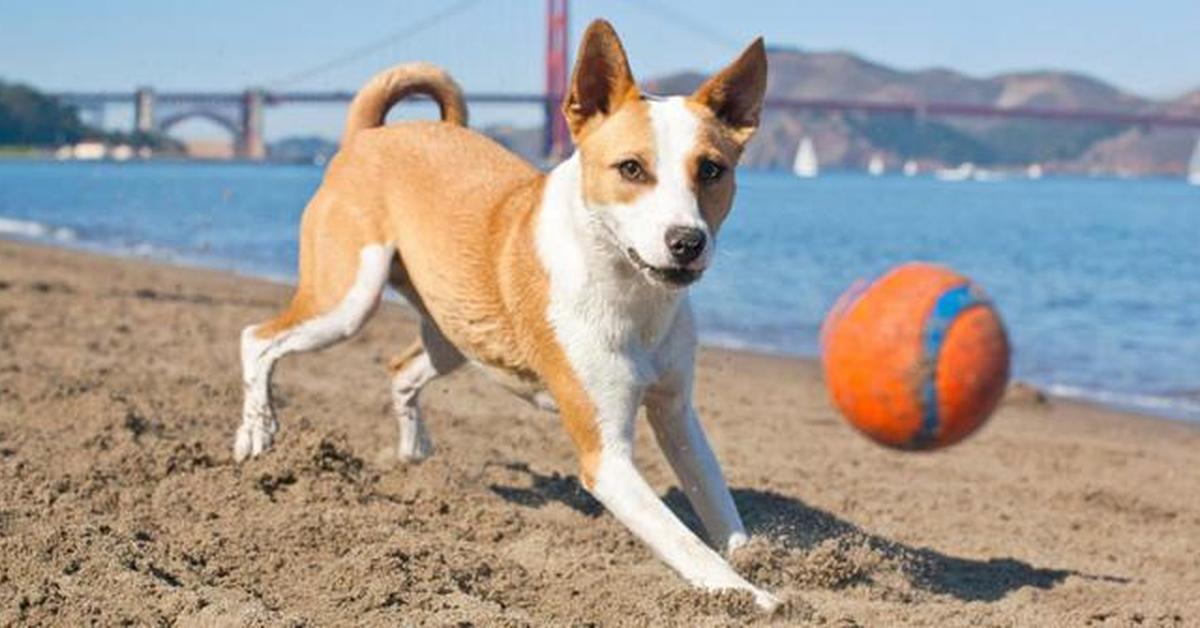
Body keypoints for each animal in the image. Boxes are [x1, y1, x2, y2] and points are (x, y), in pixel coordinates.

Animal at [236, 19, 777, 609]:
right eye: (631, 168)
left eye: (712, 170)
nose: (687, 242)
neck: (634, 295)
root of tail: (369, 136)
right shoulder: (606, 459)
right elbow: (683, 541)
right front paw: (750, 596)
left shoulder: (677, 414)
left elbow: (717, 504)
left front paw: (764, 559)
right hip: (347, 301)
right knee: (256, 338)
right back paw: (255, 433)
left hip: (453, 336)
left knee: (401, 371)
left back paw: (413, 458)